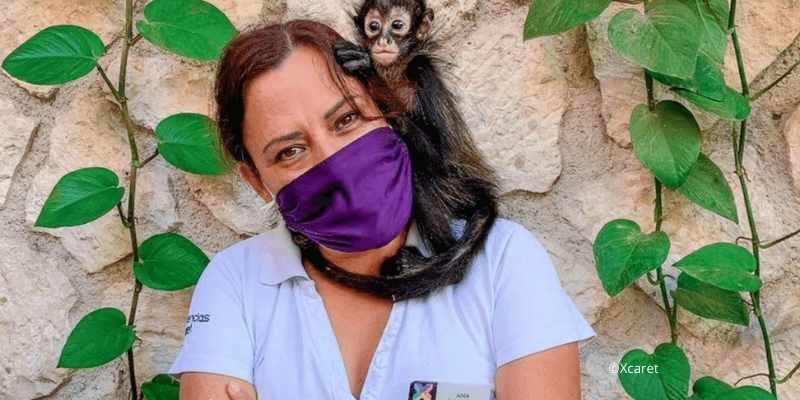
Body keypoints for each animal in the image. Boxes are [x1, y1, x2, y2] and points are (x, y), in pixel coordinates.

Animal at [294, 0, 496, 300]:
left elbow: (440, 157)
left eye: (397, 25)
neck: (395, 72)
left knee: (419, 173)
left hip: (455, 187)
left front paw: (369, 73)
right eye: (374, 26)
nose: (383, 40)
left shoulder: (423, 71)